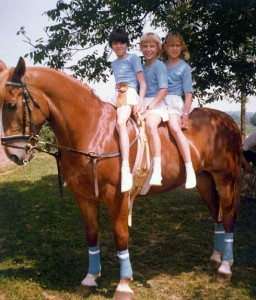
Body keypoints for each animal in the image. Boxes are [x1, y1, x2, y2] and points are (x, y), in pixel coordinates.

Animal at [0, 57, 240, 298]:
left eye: (12, 104)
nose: (13, 154)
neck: (94, 130)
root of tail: (228, 121)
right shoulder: (84, 198)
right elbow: (92, 235)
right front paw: (90, 279)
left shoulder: (118, 198)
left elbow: (120, 237)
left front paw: (123, 284)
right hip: (205, 180)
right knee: (217, 215)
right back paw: (216, 257)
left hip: (226, 180)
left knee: (229, 216)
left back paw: (225, 267)